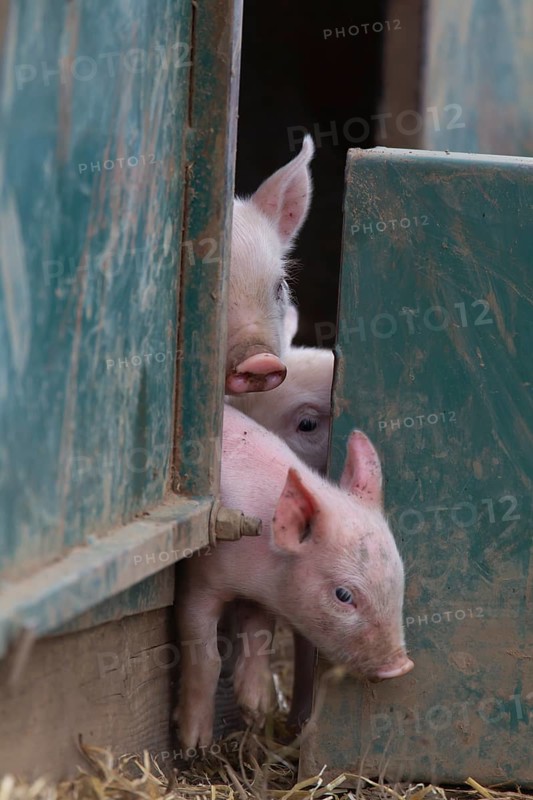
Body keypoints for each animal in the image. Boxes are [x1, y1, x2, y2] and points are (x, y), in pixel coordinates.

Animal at [175, 405, 414, 750]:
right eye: (344, 595)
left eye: (399, 577)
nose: (400, 666)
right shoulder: (198, 583)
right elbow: (207, 657)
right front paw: (195, 744)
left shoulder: (260, 596)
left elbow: (260, 634)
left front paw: (258, 711)